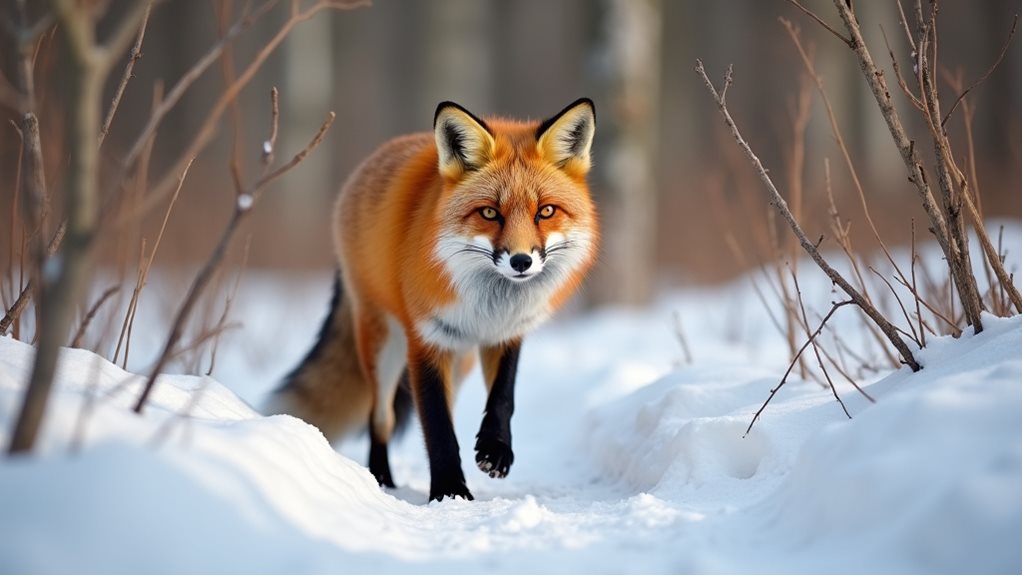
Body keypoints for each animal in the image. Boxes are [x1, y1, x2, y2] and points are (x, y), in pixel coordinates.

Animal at [268, 98, 598, 502]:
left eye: (546, 211)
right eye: (490, 212)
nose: (521, 261)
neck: (488, 306)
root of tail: (371, 160)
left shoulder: (507, 334)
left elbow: (502, 398)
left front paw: (495, 450)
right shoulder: (426, 340)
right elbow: (437, 427)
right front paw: (449, 490)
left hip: (460, 361)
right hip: (384, 347)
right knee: (381, 418)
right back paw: (382, 479)